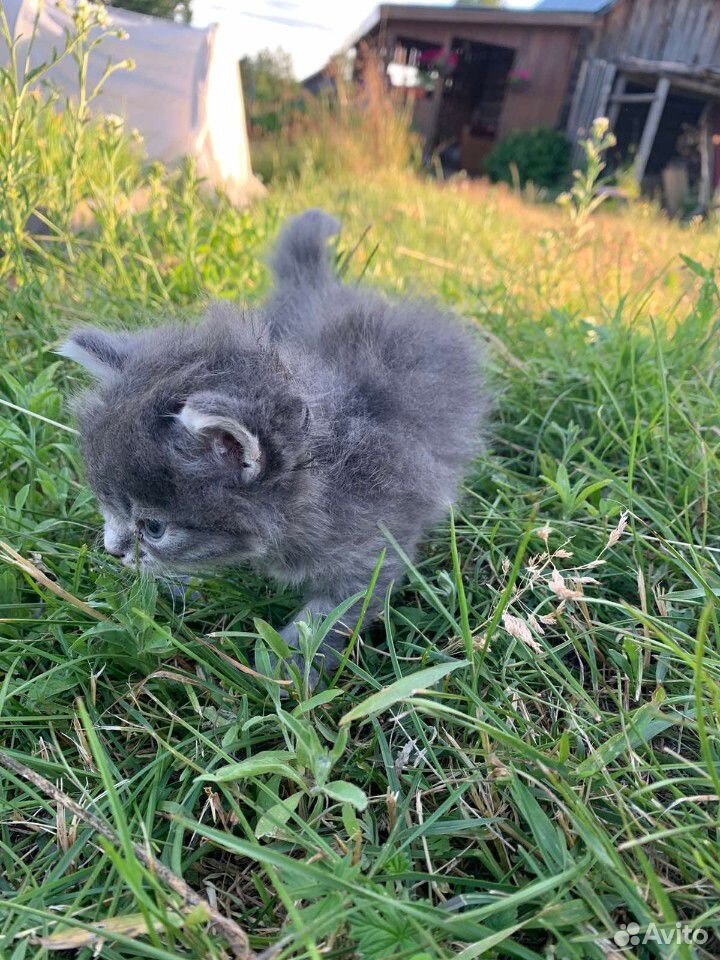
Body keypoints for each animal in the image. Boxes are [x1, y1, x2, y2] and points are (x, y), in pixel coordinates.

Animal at [60, 207, 490, 680]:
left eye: (153, 528)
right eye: (105, 504)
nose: (113, 550)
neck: (325, 472)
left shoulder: (374, 547)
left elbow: (330, 617)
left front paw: (288, 671)